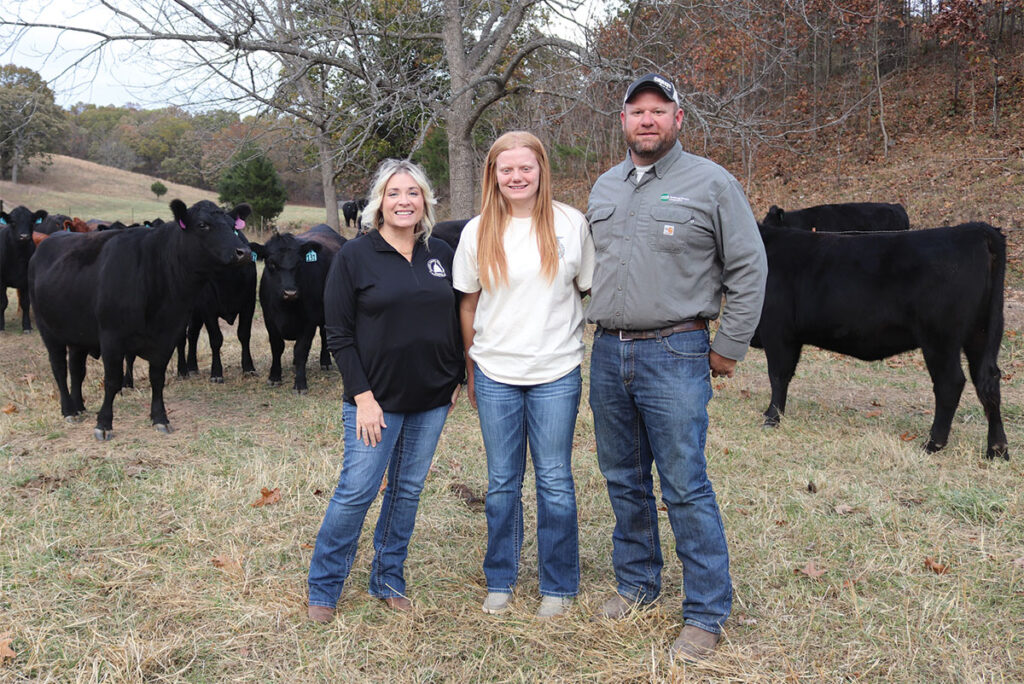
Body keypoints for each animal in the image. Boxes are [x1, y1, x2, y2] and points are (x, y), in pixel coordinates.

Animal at [29, 200, 252, 440]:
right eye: (203, 224)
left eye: (234, 226)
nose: (244, 252)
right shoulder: (111, 338)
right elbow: (112, 381)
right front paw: (104, 423)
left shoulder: (168, 336)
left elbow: (157, 378)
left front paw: (160, 418)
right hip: (49, 331)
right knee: (59, 369)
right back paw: (69, 410)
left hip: (77, 335)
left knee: (76, 370)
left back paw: (79, 406)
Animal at [249, 224, 346, 393]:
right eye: (271, 264)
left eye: (299, 263)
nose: (290, 292)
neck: (286, 309)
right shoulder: (270, 320)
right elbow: (277, 347)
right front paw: (274, 376)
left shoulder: (309, 322)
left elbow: (301, 350)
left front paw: (300, 384)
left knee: (324, 333)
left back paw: (325, 361)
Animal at [753, 223, 1007, 458]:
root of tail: (974, 229)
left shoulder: (777, 330)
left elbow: (778, 376)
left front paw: (772, 419)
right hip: (979, 334)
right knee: (988, 381)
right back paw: (997, 450)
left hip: (939, 338)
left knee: (950, 383)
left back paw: (933, 444)